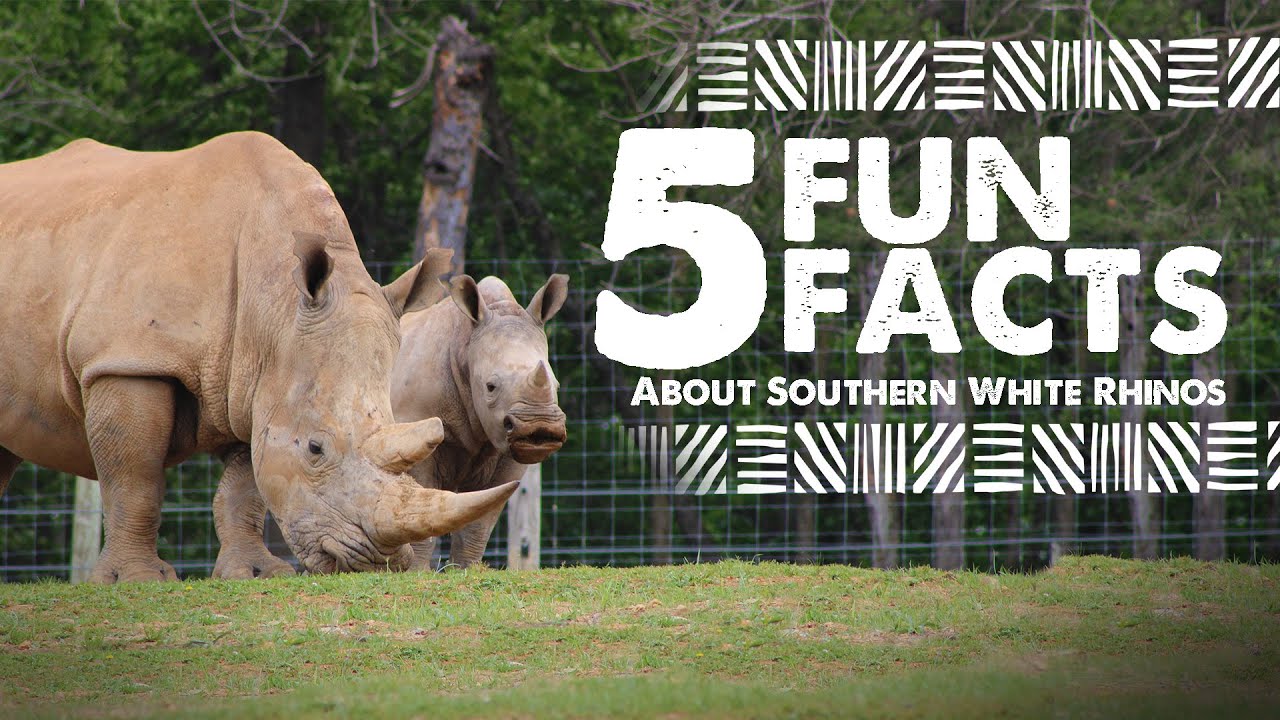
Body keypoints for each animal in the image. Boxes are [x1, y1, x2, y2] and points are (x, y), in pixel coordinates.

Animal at [0, 132, 518, 583]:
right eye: (315, 449)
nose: (375, 562)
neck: (274, 304)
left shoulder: (254, 379)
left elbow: (244, 488)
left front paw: (255, 574)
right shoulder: (127, 360)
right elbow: (135, 478)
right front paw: (136, 580)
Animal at [212, 254, 569, 573]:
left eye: (556, 384)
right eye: (491, 387)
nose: (540, 428)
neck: (465, 345)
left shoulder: (509, 449)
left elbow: (479, 523)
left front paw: (466, 570)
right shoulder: (413, 428)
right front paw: (418, 573)